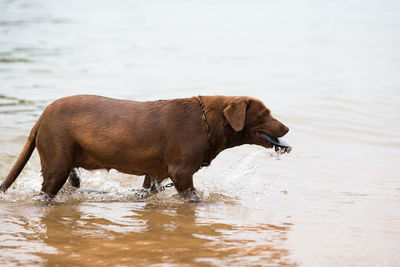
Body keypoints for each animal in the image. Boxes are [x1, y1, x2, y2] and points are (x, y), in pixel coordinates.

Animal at [0, 95, 288, 200]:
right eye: (265, 113)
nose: (286, 128)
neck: (207, 122)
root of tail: (41, 117)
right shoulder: (182, 173)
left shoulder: (155, 173)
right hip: (56, 163)